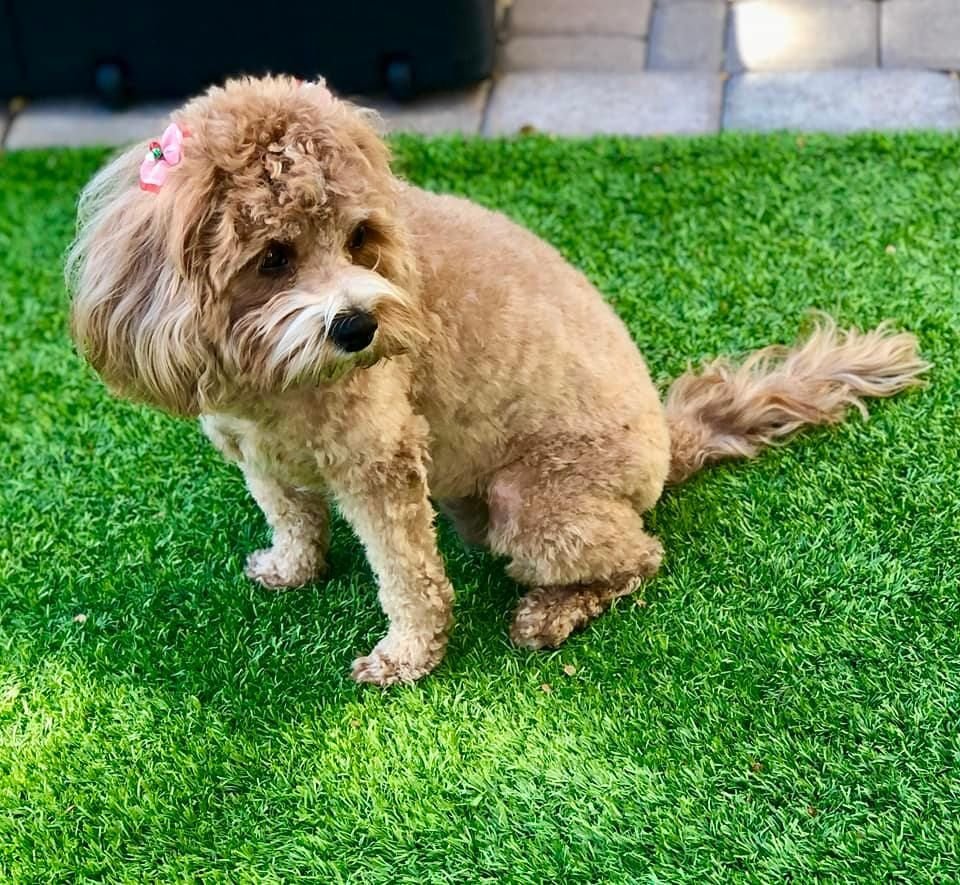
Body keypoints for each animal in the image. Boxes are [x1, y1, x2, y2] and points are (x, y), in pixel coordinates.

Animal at [67, 74, 928, 684]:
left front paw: (407, 656)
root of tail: (669, 441)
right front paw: (291, 568)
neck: (271, 378)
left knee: (639, 555)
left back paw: (550, 613)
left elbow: (407, 573)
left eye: (360, 237)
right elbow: (291, 517)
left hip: (534, 502)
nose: (358, 326)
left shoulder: (380, 460)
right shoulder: (254, 451)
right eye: (273, 256)